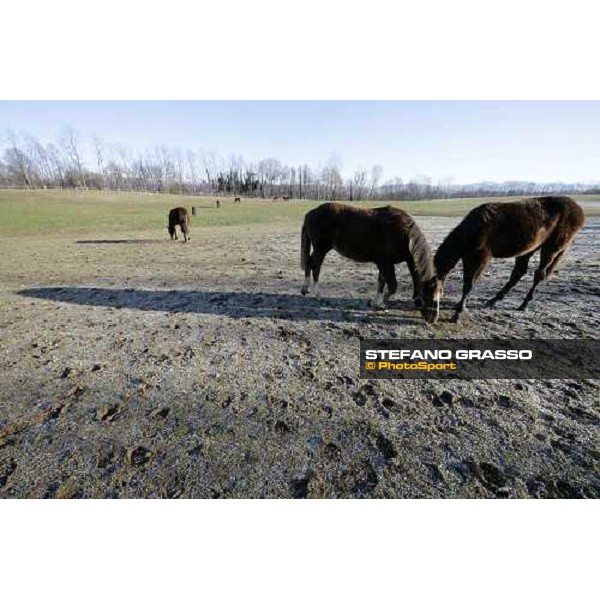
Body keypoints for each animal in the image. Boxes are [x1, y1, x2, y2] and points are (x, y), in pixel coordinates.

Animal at [302, 203, 438, 324]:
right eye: (427, 296)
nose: (433, 319)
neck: (405, 234)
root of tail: (311, 212)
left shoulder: (384, 264)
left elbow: (381, 282)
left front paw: (376, 302)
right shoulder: (385, 264)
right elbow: (392, 286)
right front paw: (380, 304)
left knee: (309, 263)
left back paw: (305, 289)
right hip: (321, 249)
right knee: (315, 267)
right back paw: (318, 294)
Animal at [426, 196, 584, 324]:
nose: (430, 316)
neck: (474, 230)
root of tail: (578, 210)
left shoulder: (481, 258)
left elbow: (469, 285)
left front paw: (458, 313)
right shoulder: (468, 257)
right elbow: (467, 283)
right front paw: (460, 306)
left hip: (552, 248)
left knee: (539, 274)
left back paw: (523, 305)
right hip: (529, 248)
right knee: (518, 273)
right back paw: (493, 300)